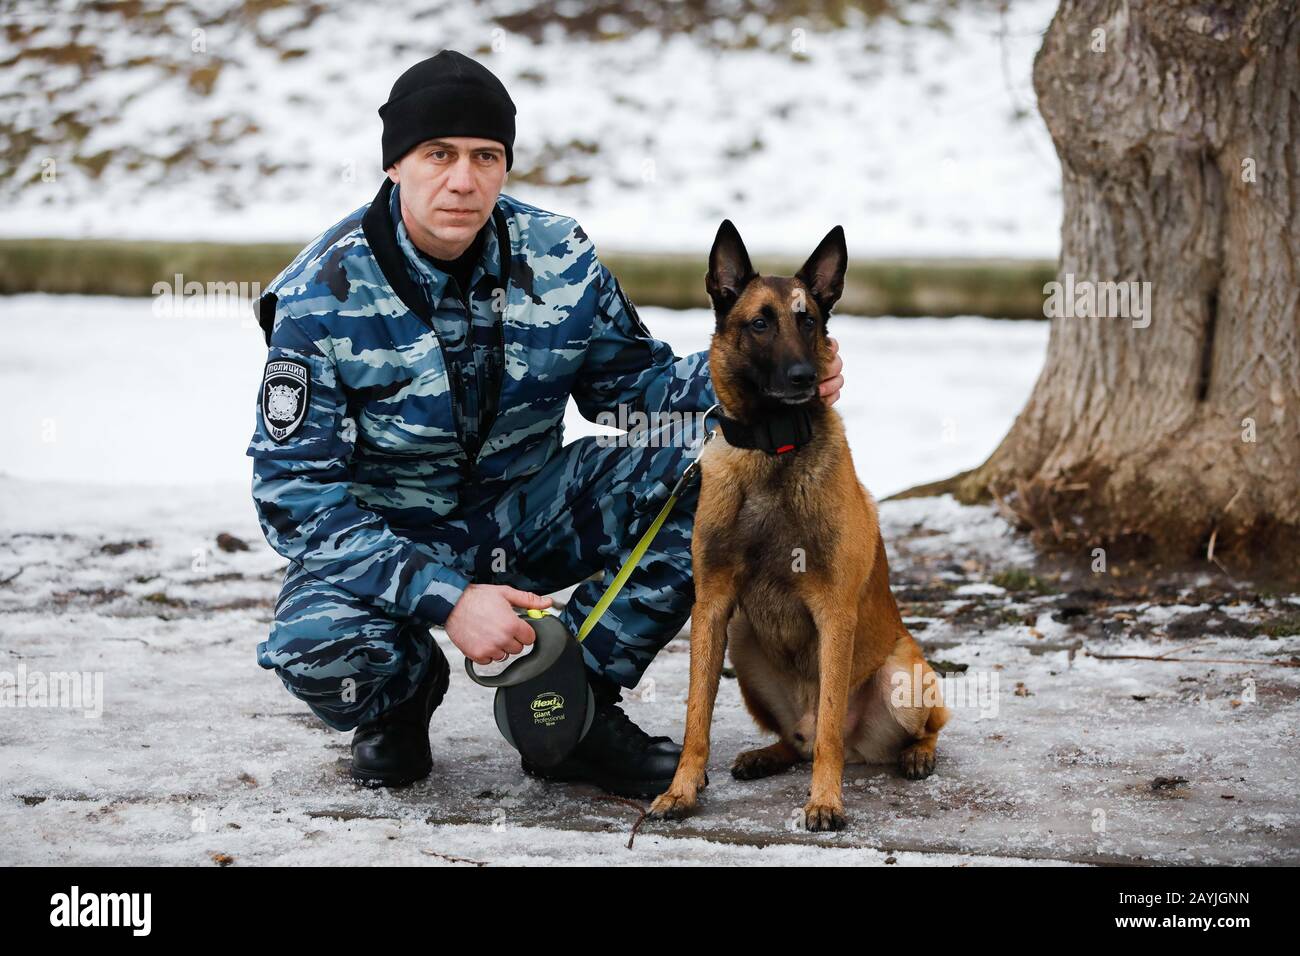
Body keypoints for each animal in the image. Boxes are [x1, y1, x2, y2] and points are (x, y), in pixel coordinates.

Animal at [647, 221, 946, 832]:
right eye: (760, 322)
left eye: (808, 320)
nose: (806, 376)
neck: (773, 447)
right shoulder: (712, 607)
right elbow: (696, 718)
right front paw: (682, 790)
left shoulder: (834, 613)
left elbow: (830, 720)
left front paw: (825, 801)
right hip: (743, 642)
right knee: (798, 740)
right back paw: (767, 755)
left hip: (904, 675)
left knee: (913, 727)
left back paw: (916, 755)